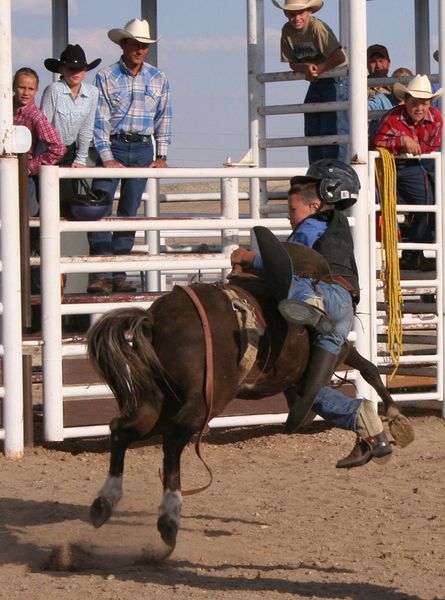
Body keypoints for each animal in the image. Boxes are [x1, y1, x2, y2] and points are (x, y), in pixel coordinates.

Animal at [86, 278, 412, 552]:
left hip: (157, 399)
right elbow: (368, 369)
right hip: (205, 399)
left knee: (123, 429)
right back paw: (169, 517)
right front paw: (394, 417)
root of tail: (155, 320)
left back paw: (105, 502)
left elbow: (351, 380)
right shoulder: (338, 346)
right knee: (174, 437)